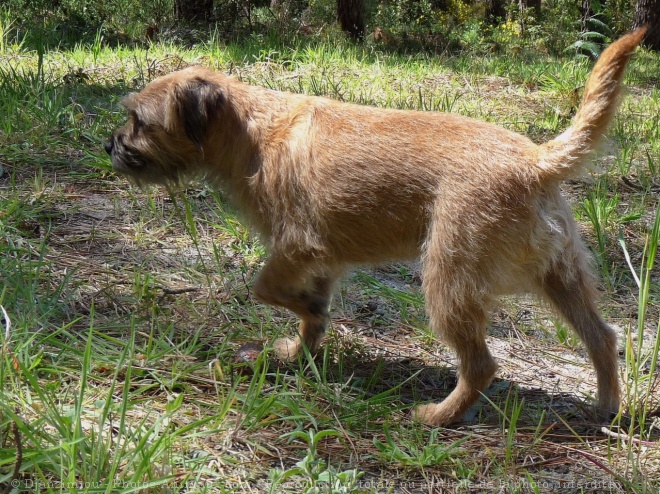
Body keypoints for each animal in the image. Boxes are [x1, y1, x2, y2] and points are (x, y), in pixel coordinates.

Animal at [105, 29, 648, 424]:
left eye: (139, 122)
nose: (110, 145)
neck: (251, 127)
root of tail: (537, 161)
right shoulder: (319, 260)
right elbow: (310, 317)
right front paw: (296, 350)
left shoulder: (296, 246)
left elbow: (265, 288)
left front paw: (301, 319)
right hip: (562, 276)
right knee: (602, 337)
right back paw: (605, 408)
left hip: (447, 281)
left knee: (482, 364)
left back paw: (438, 416)